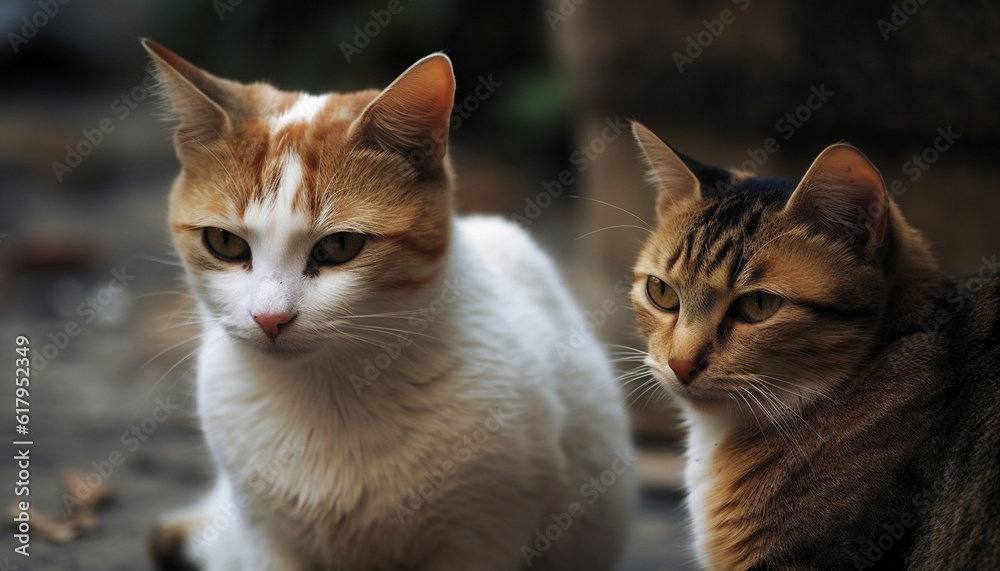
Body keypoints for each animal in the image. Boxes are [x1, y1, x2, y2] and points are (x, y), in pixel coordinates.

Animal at [143, 41, 632, 571]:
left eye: (339, 246)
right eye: (225, 243)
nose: (270, 318)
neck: (328, 396)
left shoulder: (481, 538)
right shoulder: (264, 537)